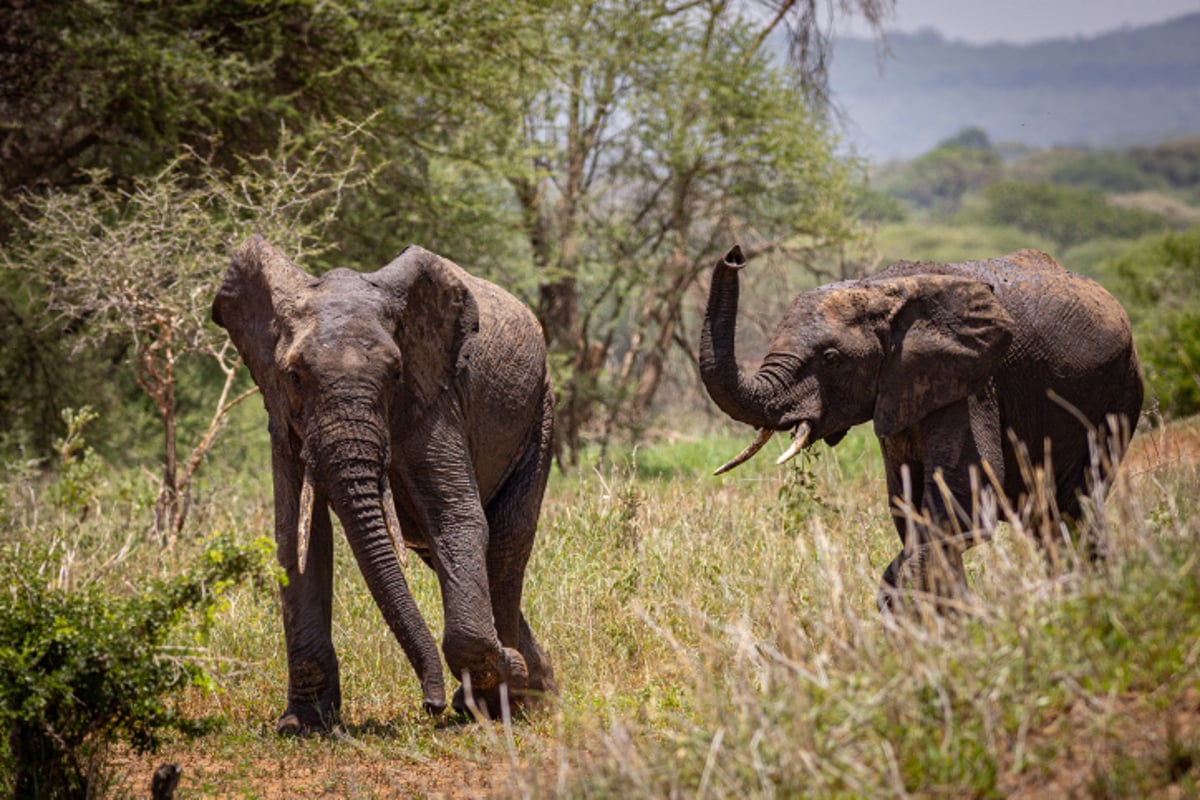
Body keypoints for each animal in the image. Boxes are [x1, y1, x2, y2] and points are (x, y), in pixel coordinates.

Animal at [212, 232, 556, 734]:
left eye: (395, 374)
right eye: (293, 376)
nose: (431, 704)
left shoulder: (435, 399)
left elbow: (457, 519)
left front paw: (497, 681)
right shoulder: (284, 420)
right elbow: (299, 538)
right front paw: (301, 726)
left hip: (540, 413)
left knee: (506, 543)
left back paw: (510, 696)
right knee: (443, 552)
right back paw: (540, 687)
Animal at [700, 247, 1142, 609]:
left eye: (831, 358)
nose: (734, 256)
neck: (881, 289)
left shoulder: (973, 380)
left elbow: (962, 497)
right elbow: (908, 503)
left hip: (1116, 398)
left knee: (1074, 507)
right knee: (1051, 520)